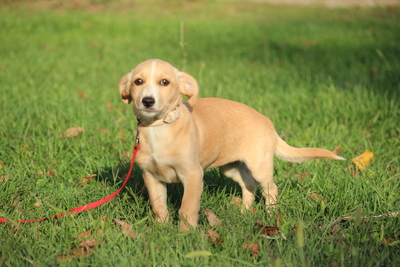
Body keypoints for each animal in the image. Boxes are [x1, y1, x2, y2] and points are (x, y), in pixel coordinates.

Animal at [118, 59, 344, 231]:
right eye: (138, 81)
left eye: (164, 82)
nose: (147, 101)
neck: (159, 128)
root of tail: (268, 123)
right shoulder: (151, 176)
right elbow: (159, 207)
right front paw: (162, 230)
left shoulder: (193, 175)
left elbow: (187, 208)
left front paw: (185, 234)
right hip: (231, 167)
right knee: (249, 184)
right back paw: (245, 212)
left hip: (259, 165)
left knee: (270, 188)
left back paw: (270, 214)